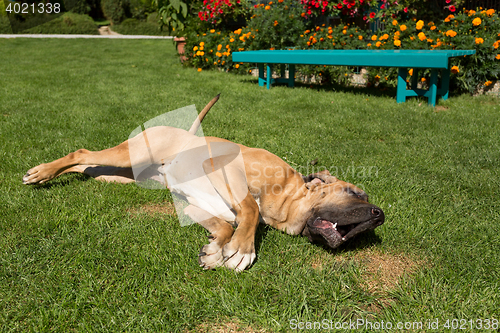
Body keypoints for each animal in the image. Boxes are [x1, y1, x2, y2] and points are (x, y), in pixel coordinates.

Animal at [23, 94, 384, 272]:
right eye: (354, 192)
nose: (380, 214)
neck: (285, 196)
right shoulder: (225, 169)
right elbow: (249, 208)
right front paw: (241, 250)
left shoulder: (199, 206)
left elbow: (224, 224)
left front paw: (215, 250)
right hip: (131, 154)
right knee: (82, 152)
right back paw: (40, 173)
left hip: (118, 174)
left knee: (85, 164)